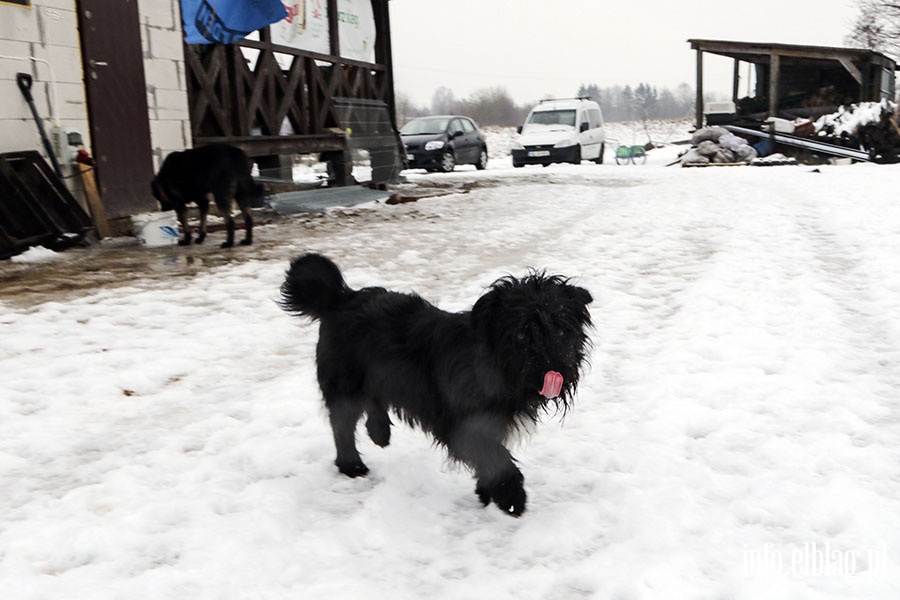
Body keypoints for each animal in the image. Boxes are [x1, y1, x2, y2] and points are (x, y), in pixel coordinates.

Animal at [278, 253, 596, 516]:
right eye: (519, 335)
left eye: (560, 330)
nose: (554, 370)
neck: (491, 366)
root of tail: (340, 298)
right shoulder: (464, 424)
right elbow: (497, 458)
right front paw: (511, 497)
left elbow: (490, 457)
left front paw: (487, 491)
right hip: (345, 383)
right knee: (342, 424)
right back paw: (351, 465)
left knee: (372, 402)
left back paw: (379, 432)